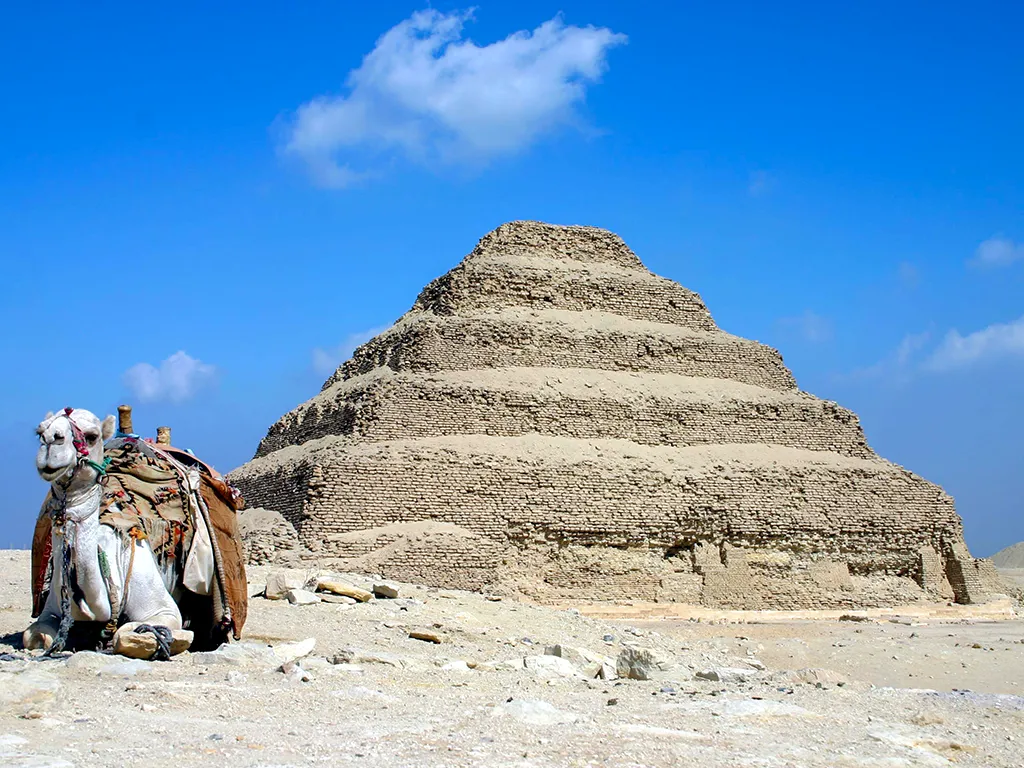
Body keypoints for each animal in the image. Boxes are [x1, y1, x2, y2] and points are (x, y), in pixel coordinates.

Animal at [23, 409, 246, 663]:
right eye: (40, 431)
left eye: (91, 436)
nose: (51, 442)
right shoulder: (50, 610)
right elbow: (33, 636)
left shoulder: (162, 609)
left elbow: (128, 633)